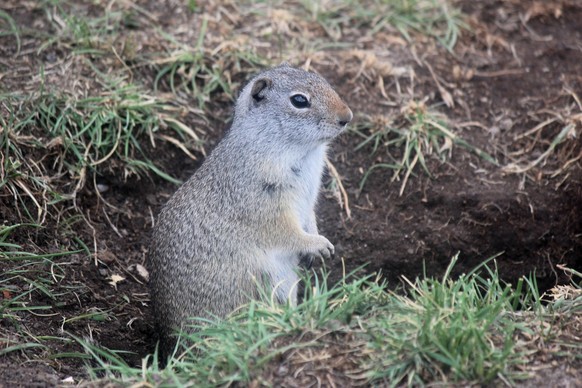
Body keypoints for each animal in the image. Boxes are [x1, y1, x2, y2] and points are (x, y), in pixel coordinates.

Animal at [148, 63, 354, 360]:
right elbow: (287, 232)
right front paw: (317, 244)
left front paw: (315, 246)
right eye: (299, 100)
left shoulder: (308, 200)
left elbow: (309, 220)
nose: (347, 117)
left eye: (324, 80)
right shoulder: (266, 207)